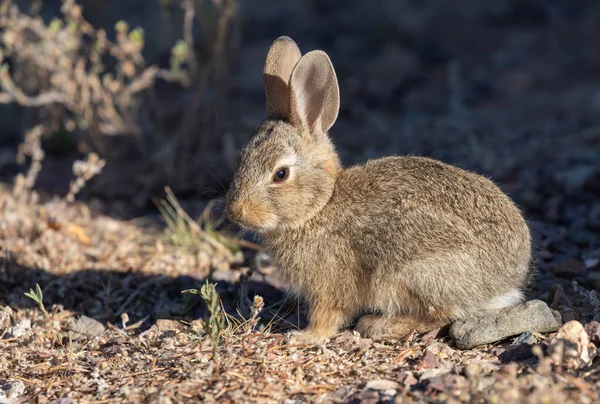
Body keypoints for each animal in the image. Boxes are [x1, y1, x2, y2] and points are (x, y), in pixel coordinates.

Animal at [225, 36, 528, 342]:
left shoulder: (331, 283)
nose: (235, 212)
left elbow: (328, 315)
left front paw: (303, 336)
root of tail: (504, 283)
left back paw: (378, 324)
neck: (320, 207)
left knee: (442, 314)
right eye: (240, 159)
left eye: (281, 174)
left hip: (411, 268)